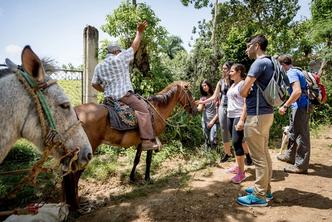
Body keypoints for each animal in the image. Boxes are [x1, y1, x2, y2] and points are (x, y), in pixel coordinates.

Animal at [62, 80, 197, 209]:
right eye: (189, 92)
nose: (196, 109)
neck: (157, 109)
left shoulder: (141, 141)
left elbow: (136, 160)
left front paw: (132, 178)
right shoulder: (151, 139)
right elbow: (148, 160)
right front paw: (147, 179)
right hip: (87, 151)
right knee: (75, 175)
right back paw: (76, 205)